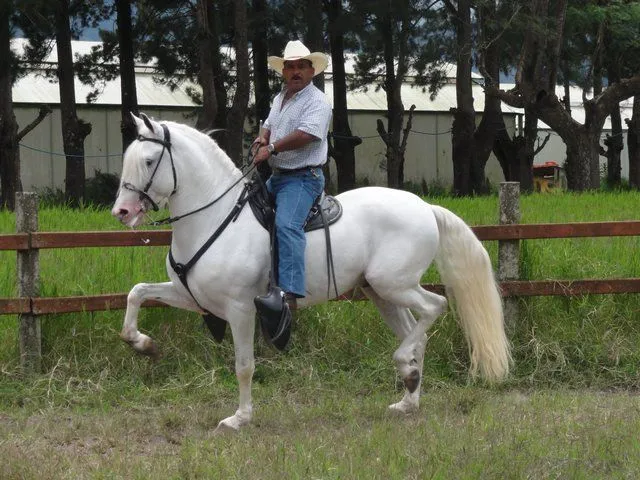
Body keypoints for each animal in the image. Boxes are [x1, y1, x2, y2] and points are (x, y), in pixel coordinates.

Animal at [112, 113, 511, 432]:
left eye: (149, 160)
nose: (122, 212)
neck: (216, 217)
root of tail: (425, 207)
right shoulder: (188, 295)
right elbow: (137, 292)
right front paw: (143, 344)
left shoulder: (240, 308)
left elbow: (244, 365)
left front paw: (240, 418)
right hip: (381, 293)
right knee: (418, 333)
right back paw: (408, 397)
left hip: (394, 285)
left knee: (434, 307)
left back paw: (405, 370)